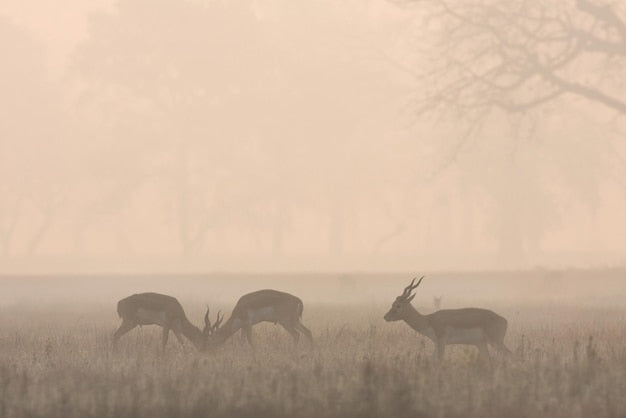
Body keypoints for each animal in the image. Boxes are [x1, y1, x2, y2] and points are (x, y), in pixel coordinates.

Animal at [382, 276, 510, 360]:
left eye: (398, 305)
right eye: (393, 303)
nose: (386, 317)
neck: (429, 320)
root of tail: (504, 320)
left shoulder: (442, 342)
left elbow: (439, 361)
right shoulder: (436, 344)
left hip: (495, 342)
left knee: (510, 355)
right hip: (481, 344)